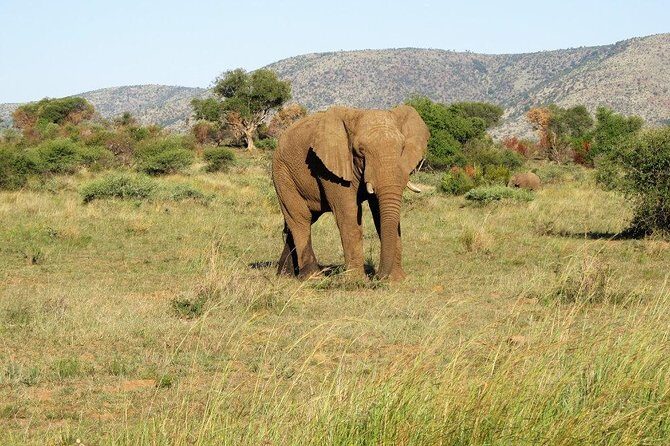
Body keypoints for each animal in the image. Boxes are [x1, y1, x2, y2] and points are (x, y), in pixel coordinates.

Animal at [272, 105, 429, 281]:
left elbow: (379, 214)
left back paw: (285, 274)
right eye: (360, 151)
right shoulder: (329, 167)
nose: (377, 276)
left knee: (302, 220)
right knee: (301, 219)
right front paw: (356, 281)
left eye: (402, 148)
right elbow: (349, 212)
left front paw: (396, 281)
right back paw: (312, 277)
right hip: (283, 174)